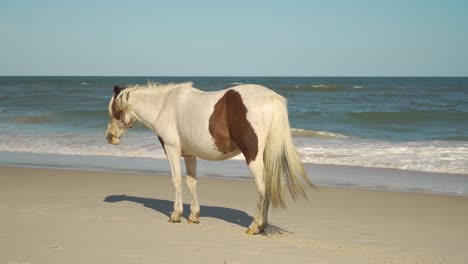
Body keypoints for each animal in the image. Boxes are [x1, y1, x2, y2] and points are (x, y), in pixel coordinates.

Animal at [104, 81, 312, 234]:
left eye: (115, 110)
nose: (109, 138)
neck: (164, 105)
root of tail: (271, 97)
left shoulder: (172, 149)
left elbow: (176, 180)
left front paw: (176, 215)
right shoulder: (189, 154)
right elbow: (191, 182)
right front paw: (194, 216)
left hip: (253, 157)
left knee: (262, 187)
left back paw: (255, 226)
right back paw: (262, 226)